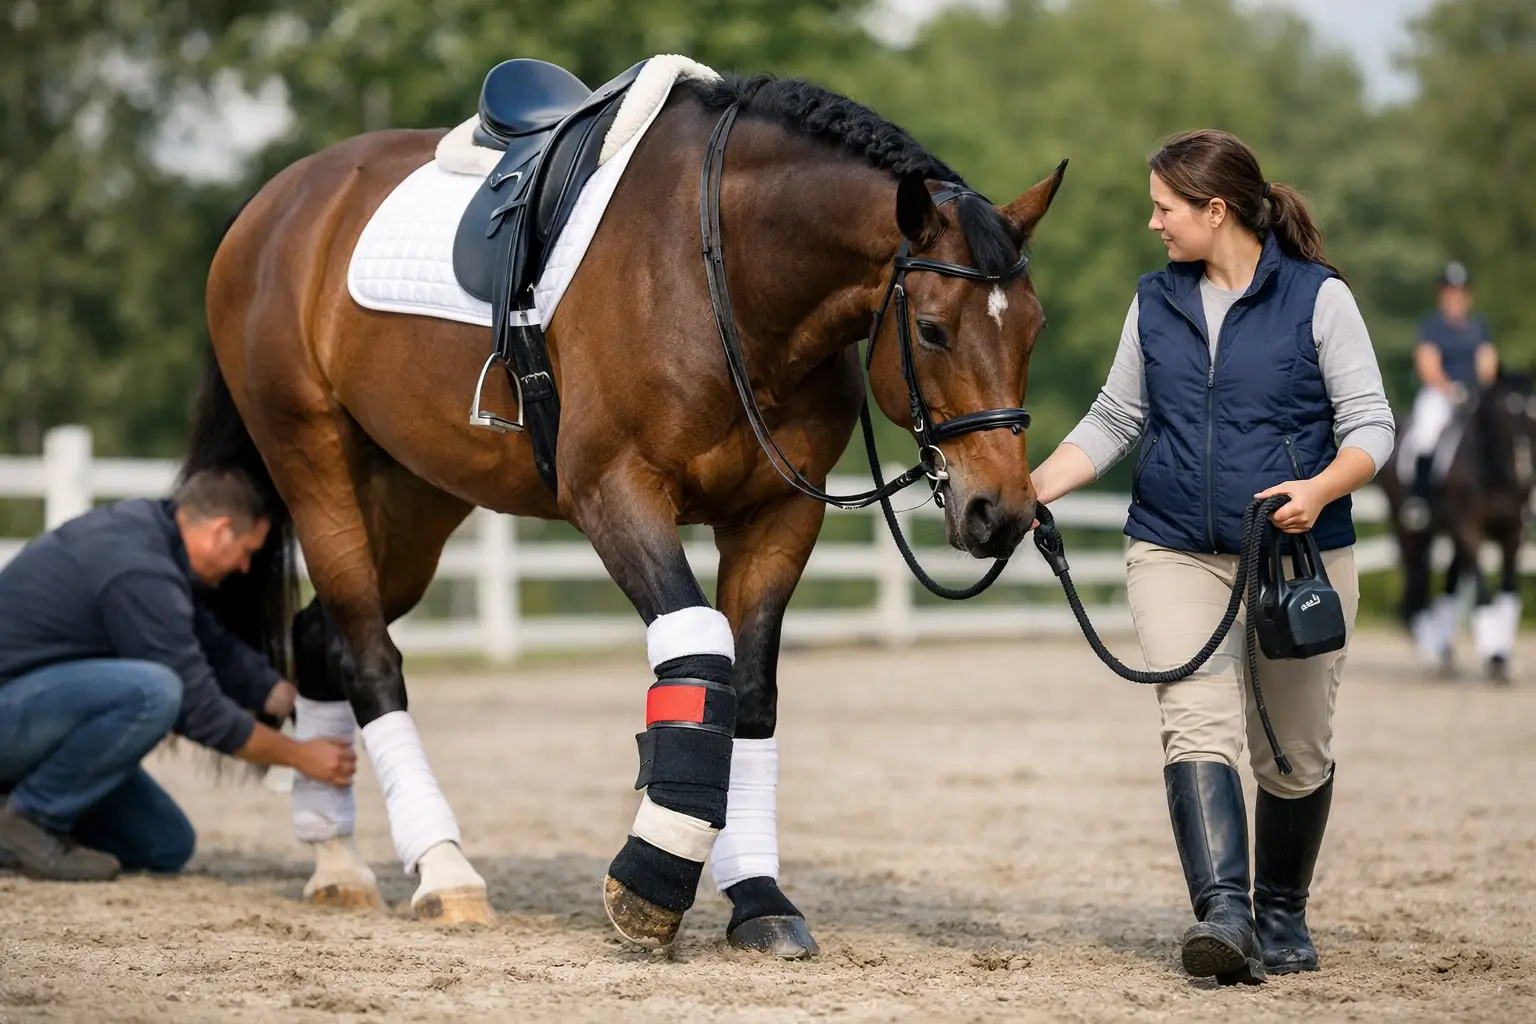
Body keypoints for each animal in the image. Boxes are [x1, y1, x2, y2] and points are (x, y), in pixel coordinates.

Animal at [188, 66, 1065, 958]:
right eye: (932, 330)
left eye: (1033, 329)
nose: (1000, 512)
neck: (727, 275)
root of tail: (276, 204)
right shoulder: (615, 491)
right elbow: (700, 658)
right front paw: (650, 885)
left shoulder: (779, 516)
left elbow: (751, 692)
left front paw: (758, 899)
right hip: (314, 464)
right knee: (368, 657)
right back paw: (442, 871)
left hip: (414, 495)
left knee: (320, 638)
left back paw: (335, 861)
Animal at [1379, 370, 1536, 680]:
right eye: (1504, 412)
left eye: (1534, 411)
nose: (1524, 472)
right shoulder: (1467, 528)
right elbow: (1482, 590)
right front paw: (1494, 657)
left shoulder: (1513, 532)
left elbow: (1509, 590)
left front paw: (1503, 657)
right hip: (1411, 531)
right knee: (1416, 584)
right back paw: (1430, 654)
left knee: (1447, 584)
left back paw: (1443, 652)